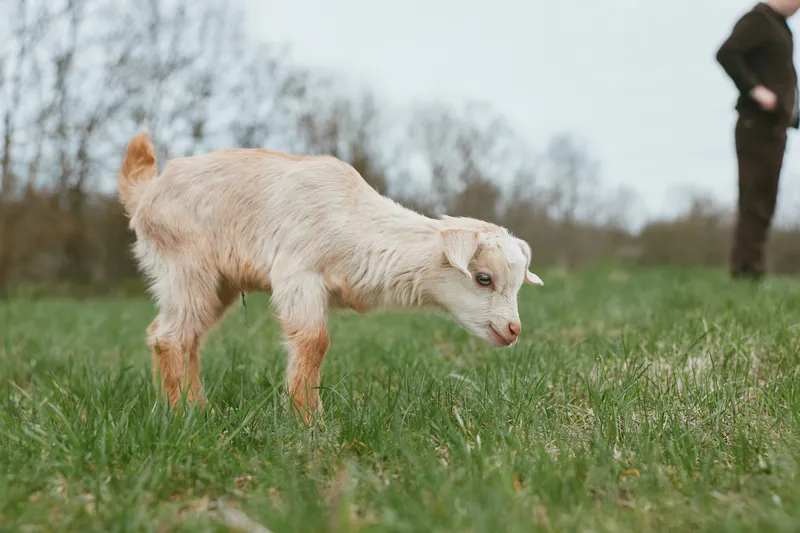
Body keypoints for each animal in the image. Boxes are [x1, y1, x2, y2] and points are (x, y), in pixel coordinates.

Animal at [118, 132, 543, 421]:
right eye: (483, 278)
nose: (513, 330)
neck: (355, 222)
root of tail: (145, 193)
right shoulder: (298, 274)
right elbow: (314, 341)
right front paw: (309, 421)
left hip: (215, 282)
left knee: (181, 336)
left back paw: (190, 406)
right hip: (186, 266)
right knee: (171, 336)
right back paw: (187, 413)